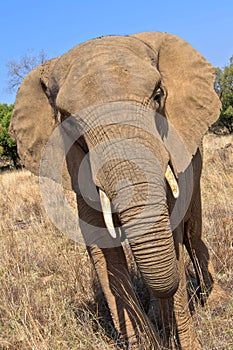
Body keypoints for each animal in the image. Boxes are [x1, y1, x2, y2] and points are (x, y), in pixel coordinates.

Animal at [9, 31, 228, 348]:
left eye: (159, 96)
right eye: (69, 122)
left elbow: (173, 226)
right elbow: (101, 247)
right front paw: (146, 340)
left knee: (191, 229)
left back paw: (212, 301)